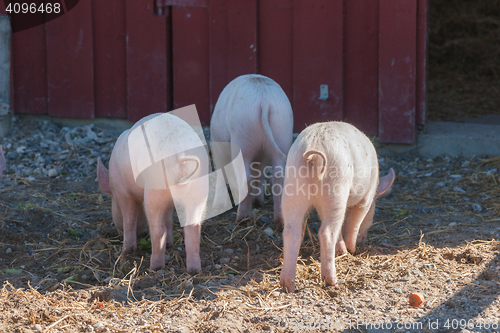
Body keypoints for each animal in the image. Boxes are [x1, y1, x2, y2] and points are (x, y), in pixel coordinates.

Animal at [96, 113, 208, 274]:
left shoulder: (123, 191)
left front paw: (127, 250)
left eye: (112, 203)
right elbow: (168, 219)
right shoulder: (169, 202)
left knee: (158, 230)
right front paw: (170, 244)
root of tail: (180, 157)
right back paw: (194, 270)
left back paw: (155, 267)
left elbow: (129, 218)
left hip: (155, 189)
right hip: (198, 191)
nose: (118, 232)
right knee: (193, 228)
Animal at [210, 74, 292, 226]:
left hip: (242, 136)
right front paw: (258, 202)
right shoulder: (263, 155)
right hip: (283, 130)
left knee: (245, 177)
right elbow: (259, 173)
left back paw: (242, 219)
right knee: (278, 177)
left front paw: (218, 206)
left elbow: (221, 173)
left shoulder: (217, 145)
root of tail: (264, 100)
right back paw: (279, 222)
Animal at [282, 121, 394, 290]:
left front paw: (343, 251)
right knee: (326, 232)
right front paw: (352, 250)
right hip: (336, 187)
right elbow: (354, 222)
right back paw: (332, 281)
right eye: (373, 215)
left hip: (293, 186)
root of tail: (313, 147)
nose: (363, 242)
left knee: (291, 232)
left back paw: (287, 286)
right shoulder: (366, 198)